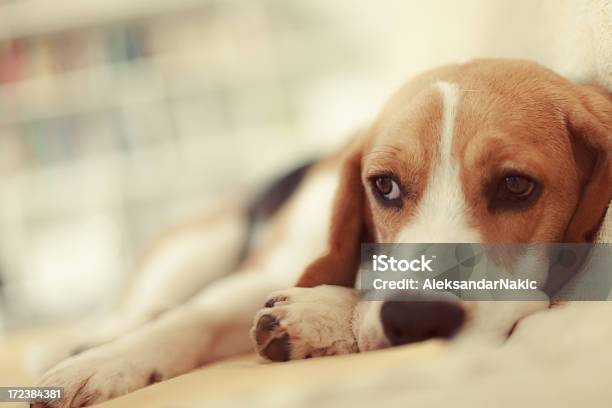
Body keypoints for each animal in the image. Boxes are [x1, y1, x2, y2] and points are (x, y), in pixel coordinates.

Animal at [33, 59, 612, 408]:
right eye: (383, 186)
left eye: (516, 186)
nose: (416, 318)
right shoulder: (266, 268)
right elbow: (192, 318)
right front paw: (100, 364)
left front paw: (317, 316)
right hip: (197, 248)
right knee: (141, 307)